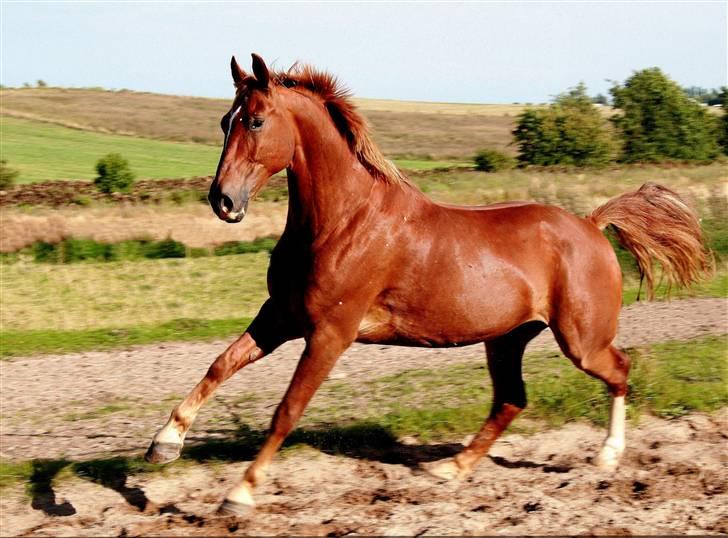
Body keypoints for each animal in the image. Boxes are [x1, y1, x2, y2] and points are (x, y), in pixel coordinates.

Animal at [145, 52, 708, 512]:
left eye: (257, 120)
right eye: (225, 120)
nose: (223, 201)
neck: (344, 221)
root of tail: (592, 225)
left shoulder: (329, 334)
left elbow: (287, 410)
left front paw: (239, 493)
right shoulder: (280, 316)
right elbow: (220, 365)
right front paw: (164, 444)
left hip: (580, 339)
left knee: (618, 370)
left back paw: (607, 457)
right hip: (507, 339)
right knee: (511, 399)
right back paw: (450, 469)